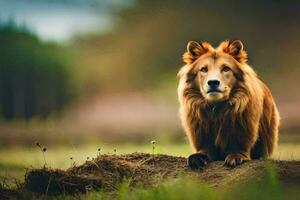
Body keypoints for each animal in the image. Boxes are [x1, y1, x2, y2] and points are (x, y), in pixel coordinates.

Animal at [178, 39, 278, 168]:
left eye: (226, 69)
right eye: (204, 69)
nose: (213, 82)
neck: (216, 107)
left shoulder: (241, 127)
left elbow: (238, 146)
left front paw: (236, 157)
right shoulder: (200, 131)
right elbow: (205, 149)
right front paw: (197, 158)